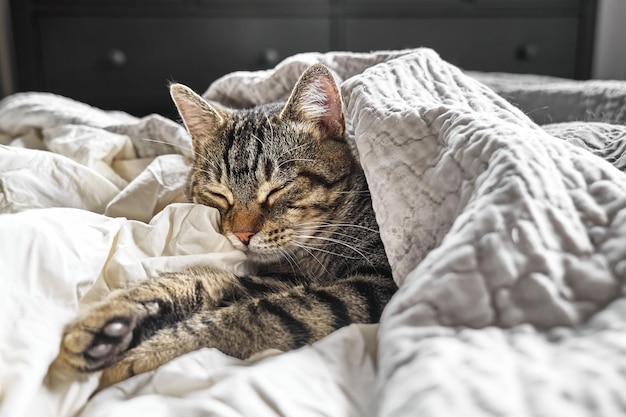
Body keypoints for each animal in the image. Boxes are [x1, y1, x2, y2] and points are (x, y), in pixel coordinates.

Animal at [53, 63, 394, 388]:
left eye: (278, 189)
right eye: (219, 193)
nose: (242, 234)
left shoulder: (374, 287)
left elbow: (258, 315)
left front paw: (144, 354)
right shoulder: (280, 278)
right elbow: (205, 281)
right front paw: (112, 317)